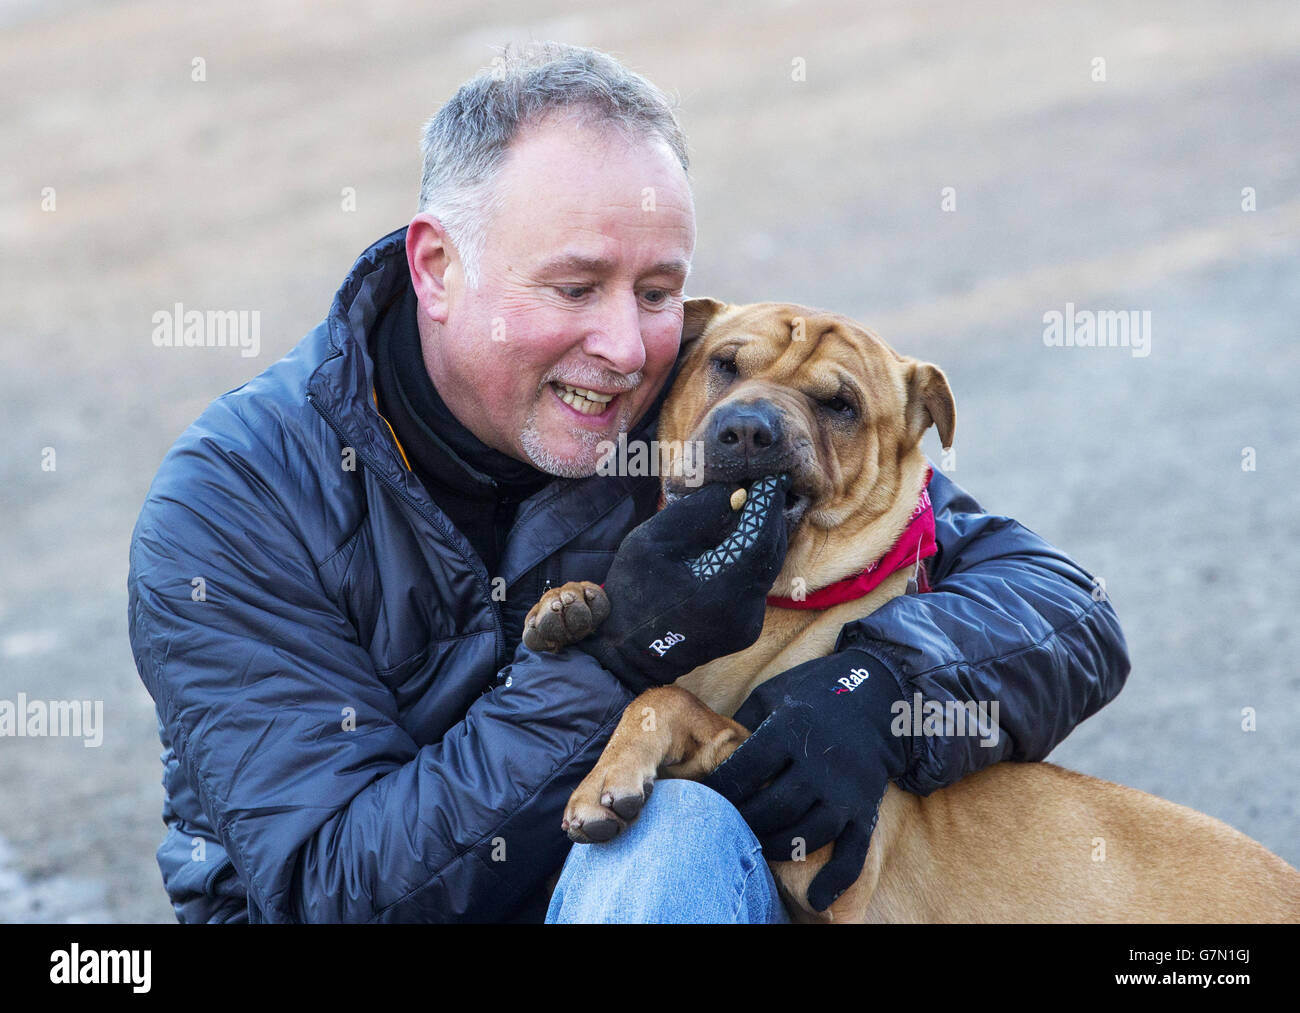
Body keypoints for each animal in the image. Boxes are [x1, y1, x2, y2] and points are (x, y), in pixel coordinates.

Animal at [520, 297, 1300, 920]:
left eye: (840, 406)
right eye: (725, 365)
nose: (747, 429)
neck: (780, 601)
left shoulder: (823, 848)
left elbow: (666, 699)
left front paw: (608, 777)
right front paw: (573, 606)